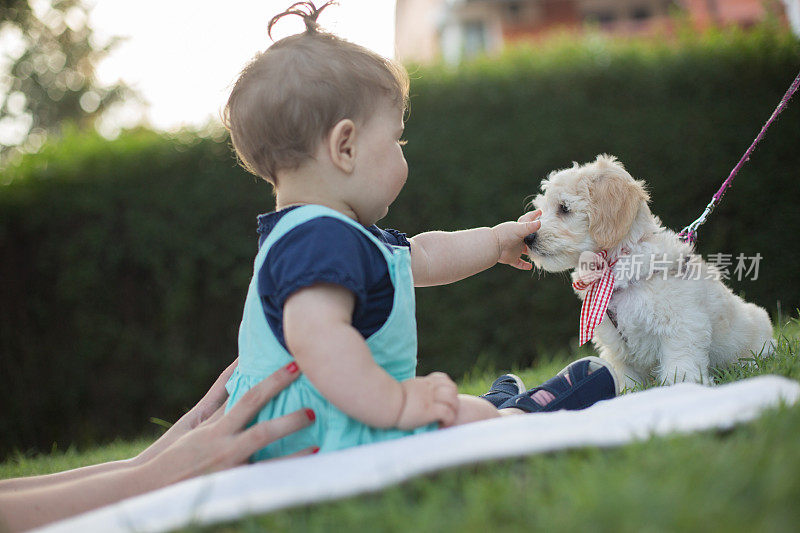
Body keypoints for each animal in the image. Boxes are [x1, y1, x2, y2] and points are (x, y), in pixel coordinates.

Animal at [528, 154, 772, 386]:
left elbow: (680, 361)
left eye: (564, 208)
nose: (529, 237)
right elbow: (625, 376)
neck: (614, 266)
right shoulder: (616, 344)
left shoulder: (680, 324)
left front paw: (681, 385)